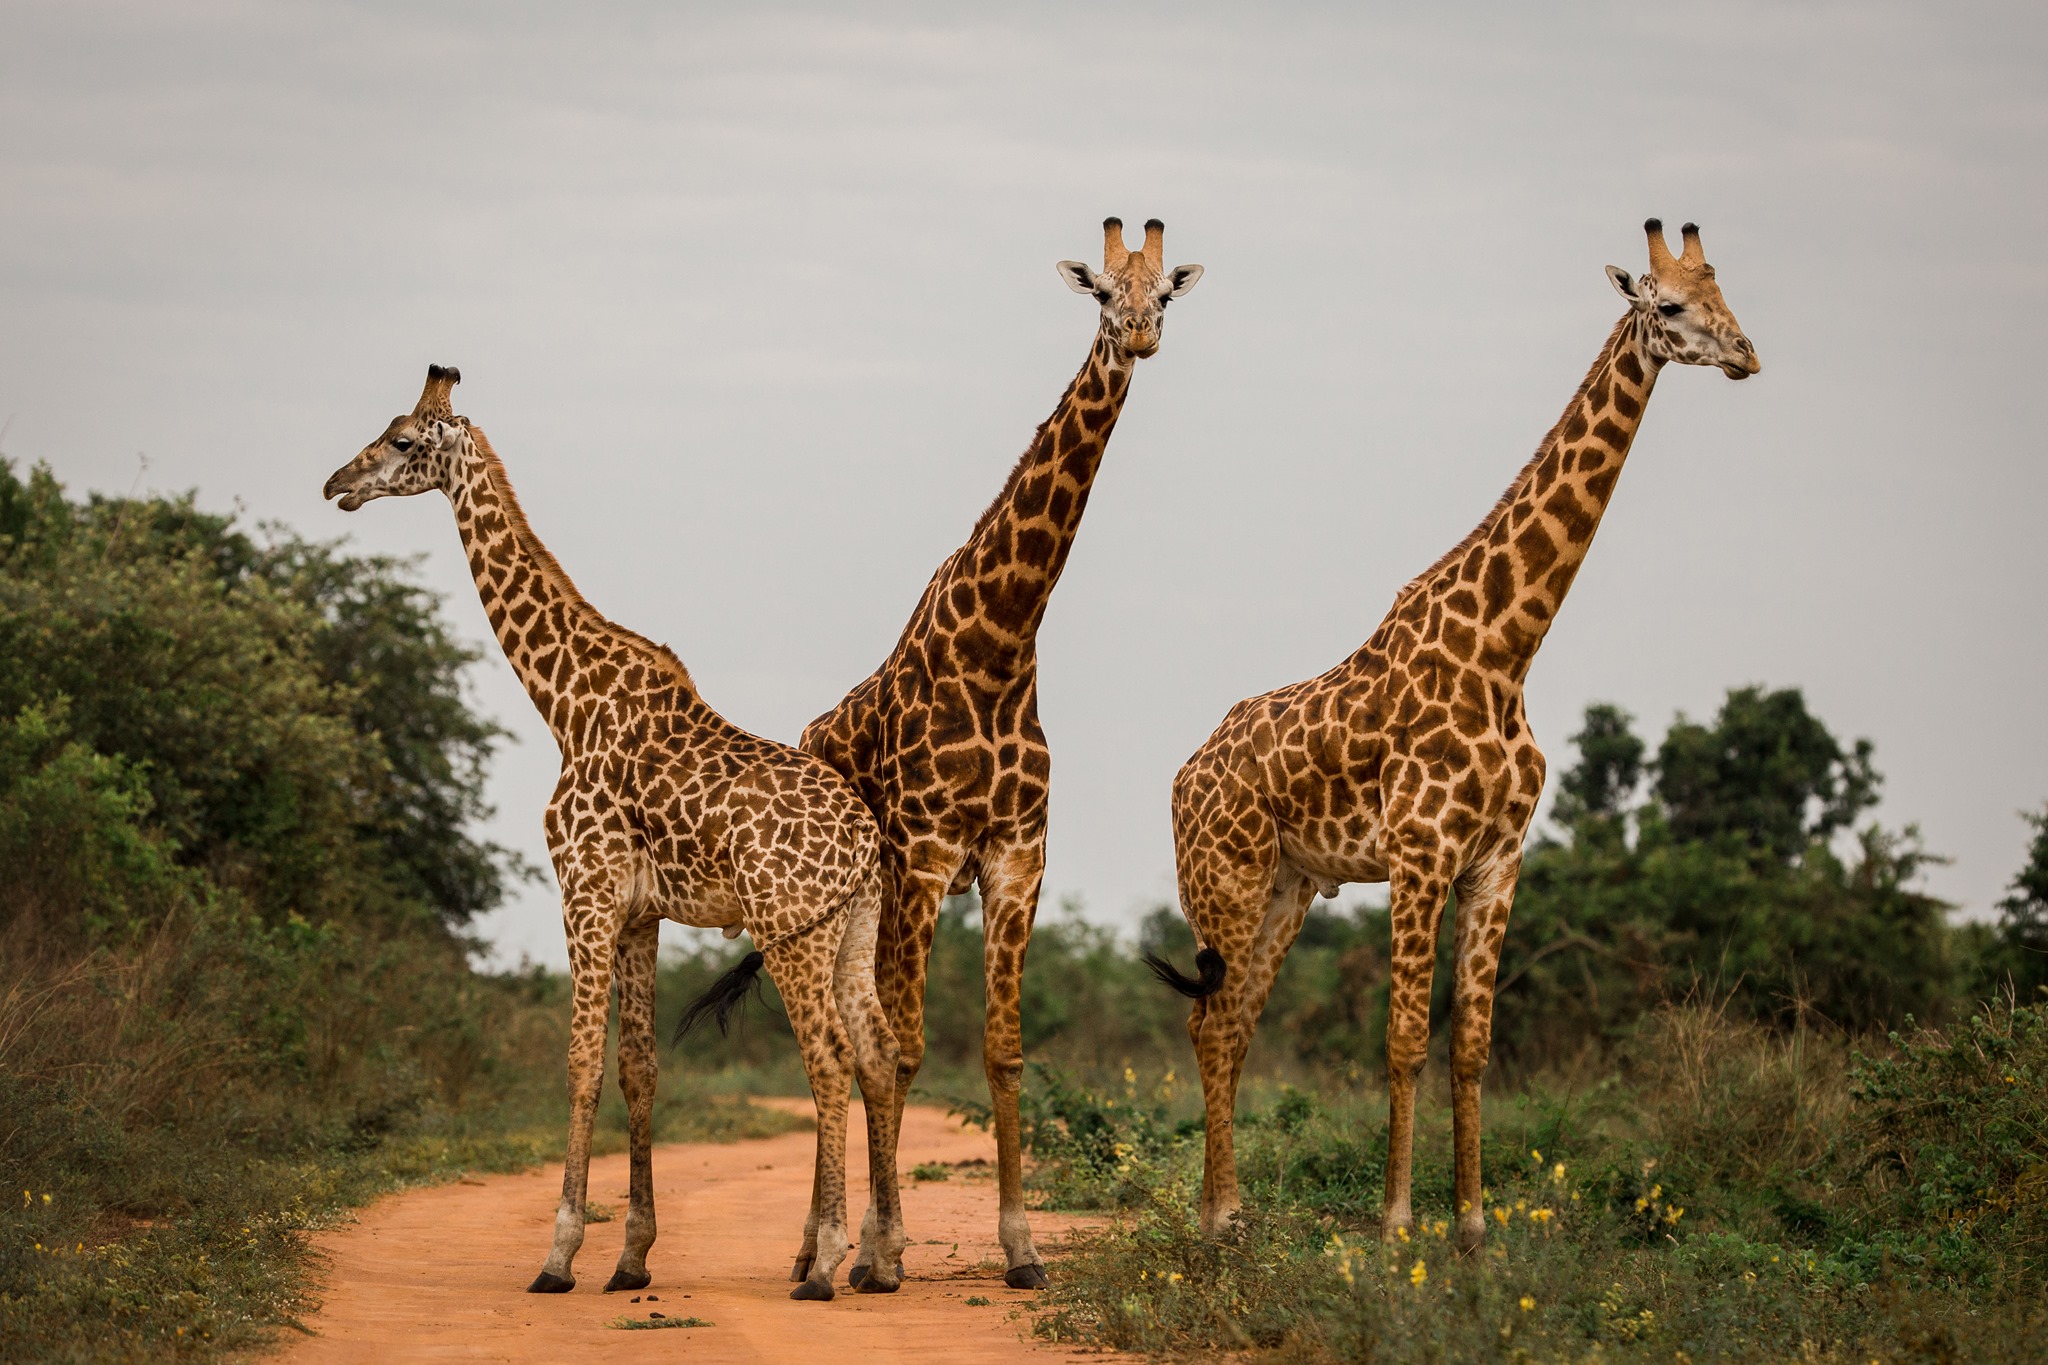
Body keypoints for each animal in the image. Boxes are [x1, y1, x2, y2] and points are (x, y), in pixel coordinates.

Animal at [321, 366, 903, 1302]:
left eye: (403, 440)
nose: (337, 483)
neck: (565, 703)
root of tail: (862, 842)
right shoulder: (639, 913)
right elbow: (639, 1067)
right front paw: (631, 1256)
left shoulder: (584, 891)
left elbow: (578, 1064)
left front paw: (558, 1255)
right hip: (852, 927)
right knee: (878, 1052)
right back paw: (879, 1263)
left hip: (790, 928)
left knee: (829, 1057)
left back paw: (824, 1264)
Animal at [800, 218, 1203, 1288]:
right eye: (1102, 292)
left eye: (1166, 294)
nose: (1140, 336)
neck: (1002, 642)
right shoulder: (926, 854)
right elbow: (902, 1049)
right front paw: (882, 1250)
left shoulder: (1018, 855)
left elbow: (1004, 1049)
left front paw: (1022, 1248)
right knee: (844, 1042)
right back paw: (825, 1247)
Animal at [1149, 220, 1758, 1250]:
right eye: (1671, 305)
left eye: (1729, 295)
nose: (1749, 355)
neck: (1506, 651)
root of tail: (1184, 777)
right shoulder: (1421, 851)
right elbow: (1403, 1039)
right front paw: (1396, 1223)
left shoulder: (1498, 858)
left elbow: (1473, 1046)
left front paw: (1473, 1227)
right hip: (1224, 879)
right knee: (1210, 1022)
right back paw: (1218, 1218)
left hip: (1288, 887)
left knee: (1231, 1023)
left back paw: (1225, 1210)